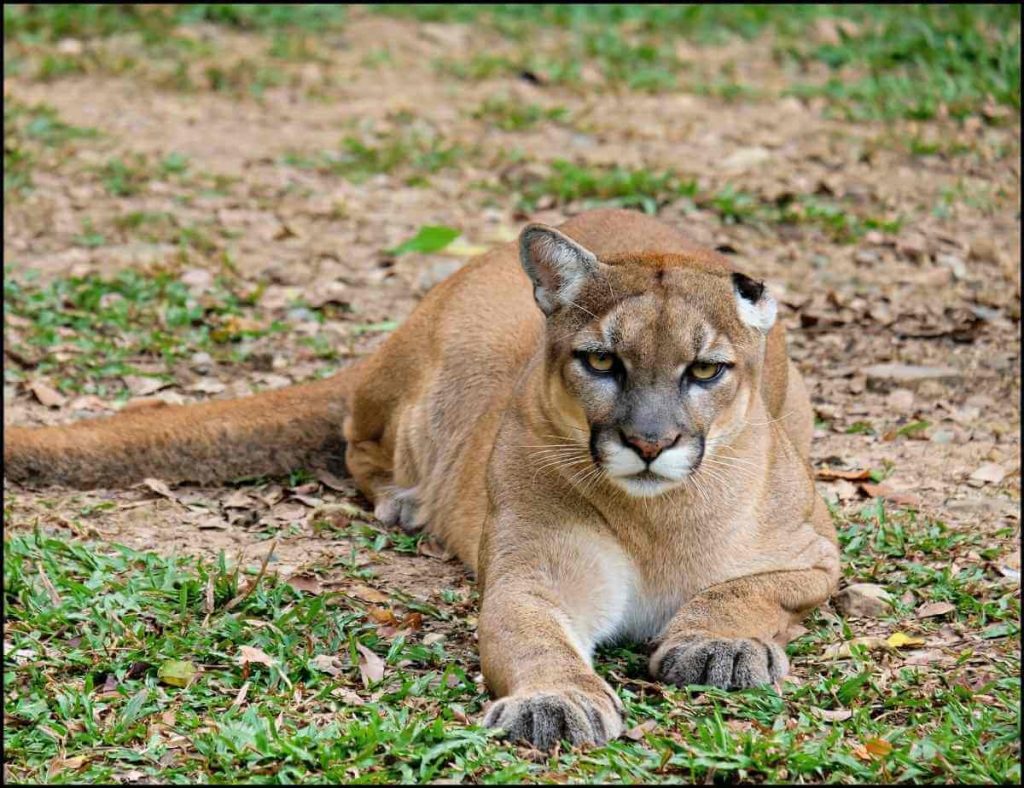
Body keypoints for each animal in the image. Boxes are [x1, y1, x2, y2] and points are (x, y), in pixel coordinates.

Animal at [6, 208, 839, 749]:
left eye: (705, 371)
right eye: (603, 361)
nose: (648, 441)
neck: (657, 518)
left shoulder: (816, 557)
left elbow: (750, 590)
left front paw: (722, 647)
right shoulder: (531, 574)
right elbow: (534, 639)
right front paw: (554, 703)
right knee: (357, 442)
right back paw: (405, 502)